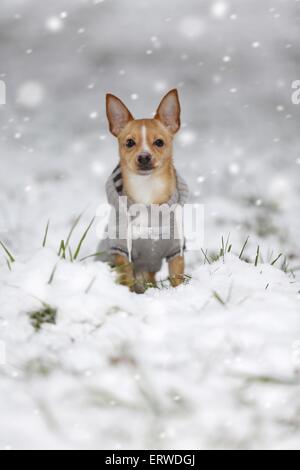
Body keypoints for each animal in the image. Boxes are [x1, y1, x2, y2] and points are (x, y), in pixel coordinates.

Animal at [101, 89, 190, 292]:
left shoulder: (176, 251)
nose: (144, 157)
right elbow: (126, 278)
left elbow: (177, 277)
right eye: (129, 143)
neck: (147, 191)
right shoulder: (122, 251)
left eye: (159, 142)